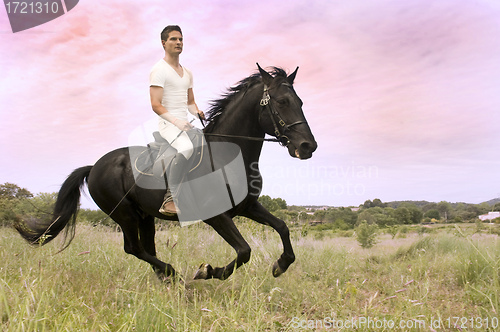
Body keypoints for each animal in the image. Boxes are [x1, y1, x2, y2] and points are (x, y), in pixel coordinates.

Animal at [15, 64, 316, 280]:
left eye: (300, 102)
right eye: (281, 102)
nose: (308, 146)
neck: (228, 156)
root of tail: (95, 166)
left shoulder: (248, 206)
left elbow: (282, 226)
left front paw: (280, 265)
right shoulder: (216, 216)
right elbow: (244, 251)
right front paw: (208, 271)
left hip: (145, 215)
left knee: (146, 249)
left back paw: (166, 277)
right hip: (124, 214)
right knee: (134, 248)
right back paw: (171, 272)